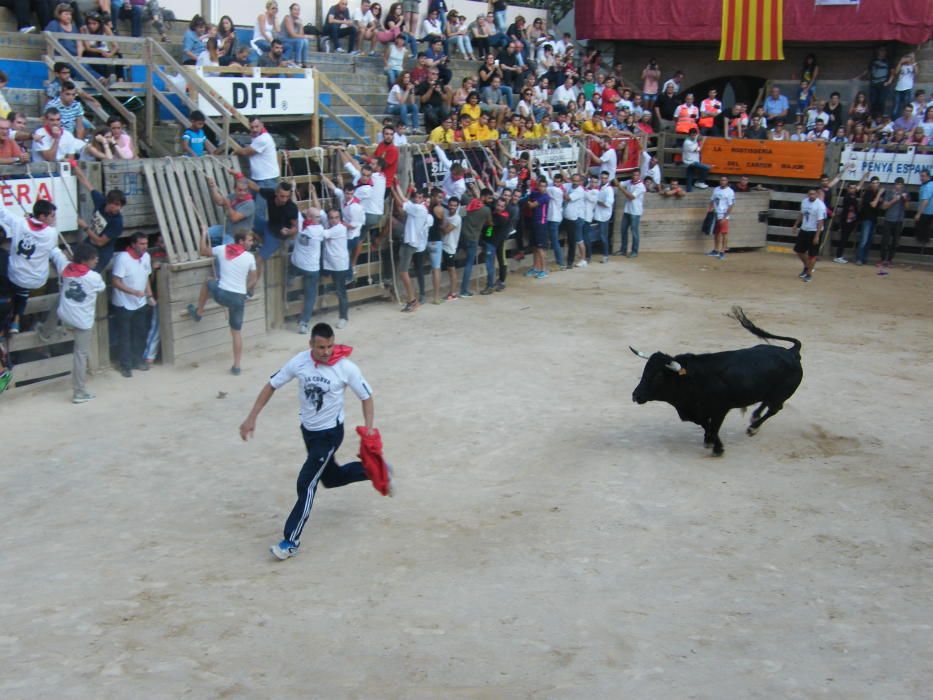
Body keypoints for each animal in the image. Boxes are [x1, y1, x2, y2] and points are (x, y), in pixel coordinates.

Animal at [632, 308, 800, 456]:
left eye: (659, 376)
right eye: (645, 371)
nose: (635, 395)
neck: (691, 379)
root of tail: (791, 352)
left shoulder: (721, 409)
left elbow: (713, 427)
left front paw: (716, 447)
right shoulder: (696, 413)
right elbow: (707, 426)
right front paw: (710, 441)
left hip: (781, 394)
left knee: (774, 408)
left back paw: (753, 428)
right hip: (770, 393)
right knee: (767, 403)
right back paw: (755, 416)